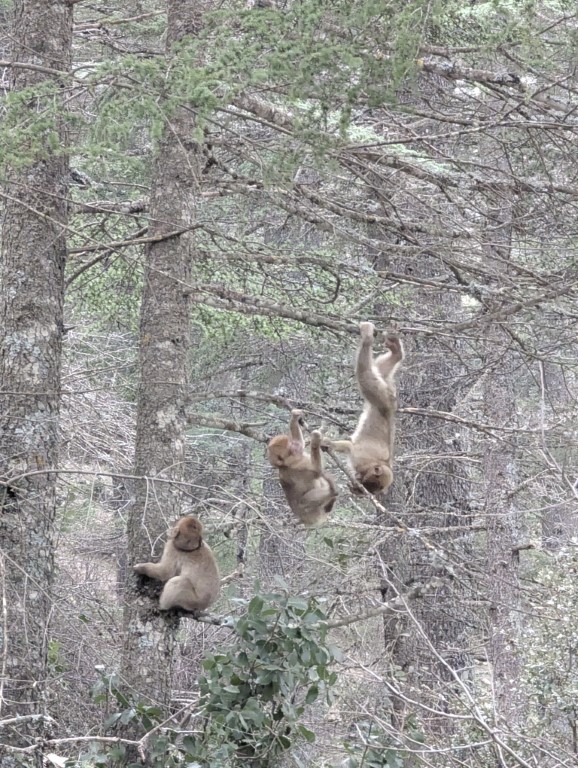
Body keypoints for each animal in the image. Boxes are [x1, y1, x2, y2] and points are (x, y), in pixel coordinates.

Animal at [325, 322, 404, 495]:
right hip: (383, 398)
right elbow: (350, 447)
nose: (361, 483)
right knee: (365, 374)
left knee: (379, 370)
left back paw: (396, 353)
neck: (377, 463)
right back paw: (368, 339)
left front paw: (354, 488)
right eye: (370, 483)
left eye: (369, 488)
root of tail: (390, 409)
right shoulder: (362, 459)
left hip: (385, 393)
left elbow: (348, 445)